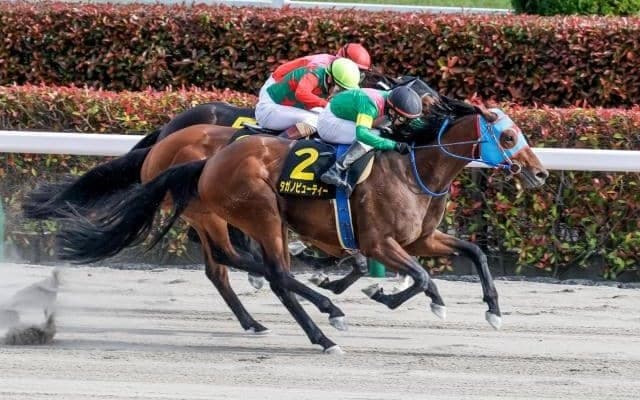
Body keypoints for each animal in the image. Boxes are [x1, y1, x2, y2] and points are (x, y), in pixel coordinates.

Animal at [54, 99, 549, 353]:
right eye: (508, 136)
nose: (540, 173)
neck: (413, 168)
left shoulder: (420, 237)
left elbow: (474, 253)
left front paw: (493, 310)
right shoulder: (381, 242)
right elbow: (422, 276)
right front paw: (394, 297)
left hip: (231, 215)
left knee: (233, 267)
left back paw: (283, 320)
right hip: (256, 211)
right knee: (272, 273)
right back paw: (325, 326)